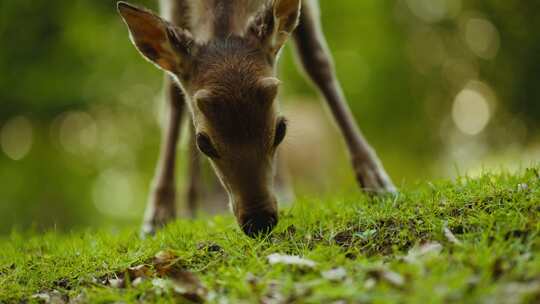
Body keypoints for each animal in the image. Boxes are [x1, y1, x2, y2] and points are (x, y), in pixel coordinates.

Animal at [118, 0, 394, 238]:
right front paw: (157, 217)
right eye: (203, 142)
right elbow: (173, 94)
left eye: (281, 129)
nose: (259, 221)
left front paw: (377, 182)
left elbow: (317, 61)